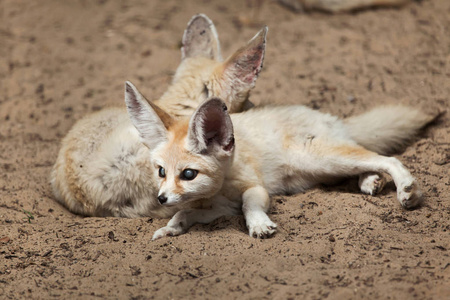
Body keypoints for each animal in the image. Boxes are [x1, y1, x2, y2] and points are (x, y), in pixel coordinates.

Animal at [122, 82, 436, 239]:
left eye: (188, 174)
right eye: (161, 171)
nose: (161, 199)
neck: (217, 190)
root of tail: (329, 117)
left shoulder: (253, 188)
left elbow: (249, 204)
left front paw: (259, 224)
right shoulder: (221, 207)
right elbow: (186, 213)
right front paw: (173, 226)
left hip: (318, 160)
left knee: (384, 156)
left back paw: (405, 187)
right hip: (324, 166)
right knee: (366, 156)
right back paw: (370, 181)